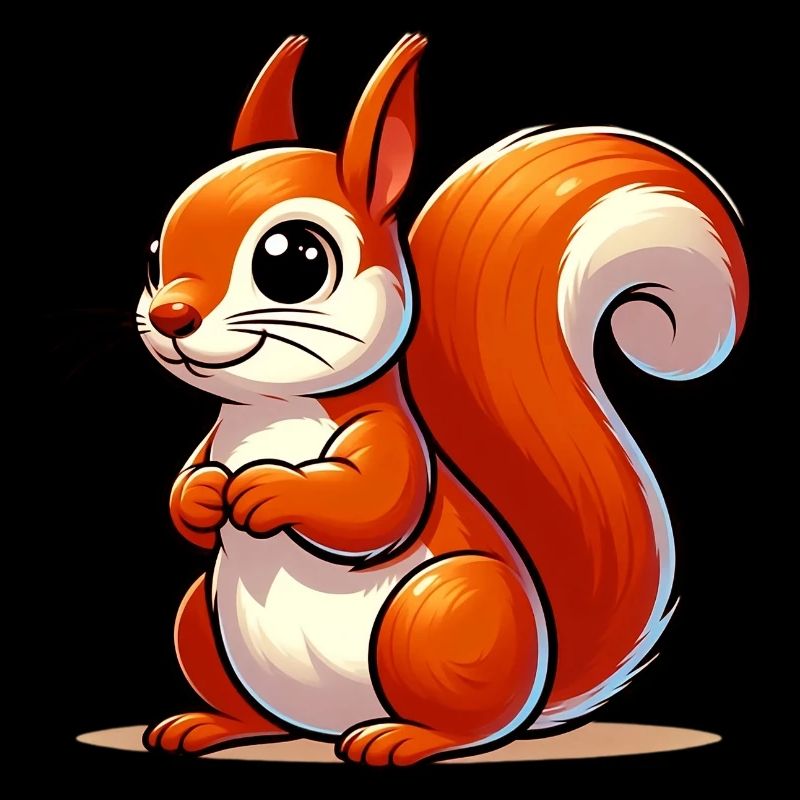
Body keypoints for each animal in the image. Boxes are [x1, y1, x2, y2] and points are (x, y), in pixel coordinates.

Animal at [137, 34, 748, 765]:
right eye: (153, 254)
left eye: (293, 259)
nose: (170, 316)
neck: (271, 410)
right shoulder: (212, 440)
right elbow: (183, 494)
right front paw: (204, 495)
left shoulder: (389, 440)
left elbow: (375, 504)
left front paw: (266, 489)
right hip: (199, 618)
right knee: (252, 707)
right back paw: (206, 724)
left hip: (439, 612)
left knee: (471, 727)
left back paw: (401, 738)